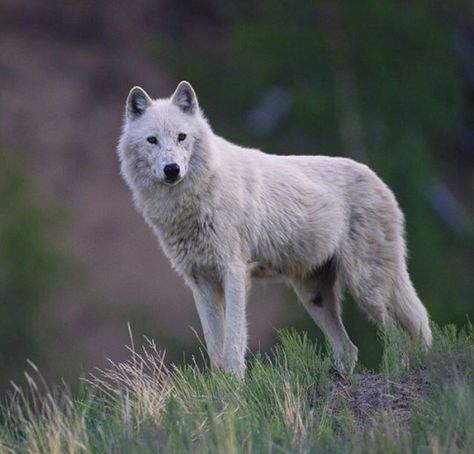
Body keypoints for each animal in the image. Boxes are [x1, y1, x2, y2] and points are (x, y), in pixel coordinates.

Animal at [116, 80, 432, 376]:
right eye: (152, 140)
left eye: (181, 137)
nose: (172, 170)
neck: (193, 199)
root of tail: (380, 181)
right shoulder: (200, 280)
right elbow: (214, 347)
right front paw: (220, 387)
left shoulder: (234, 272)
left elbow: (233, 342)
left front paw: (235, 385)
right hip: (314, 297)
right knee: (350, 348)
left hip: (366, 288)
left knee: (402, 334)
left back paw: (396, 373)